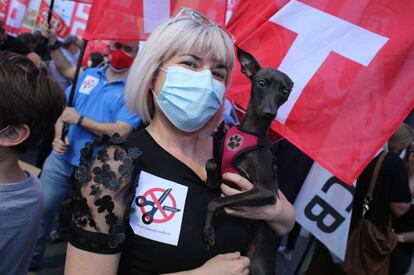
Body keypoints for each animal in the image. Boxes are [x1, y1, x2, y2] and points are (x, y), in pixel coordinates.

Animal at [203, 47, 292, 275]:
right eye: (261, 83)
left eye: (284, 91)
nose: (269, 112)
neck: (250, 130)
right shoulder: (221, 179)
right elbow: (212, 163)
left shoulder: (266, 191)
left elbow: (216, 201)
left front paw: (208, 230)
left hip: (259, 263)